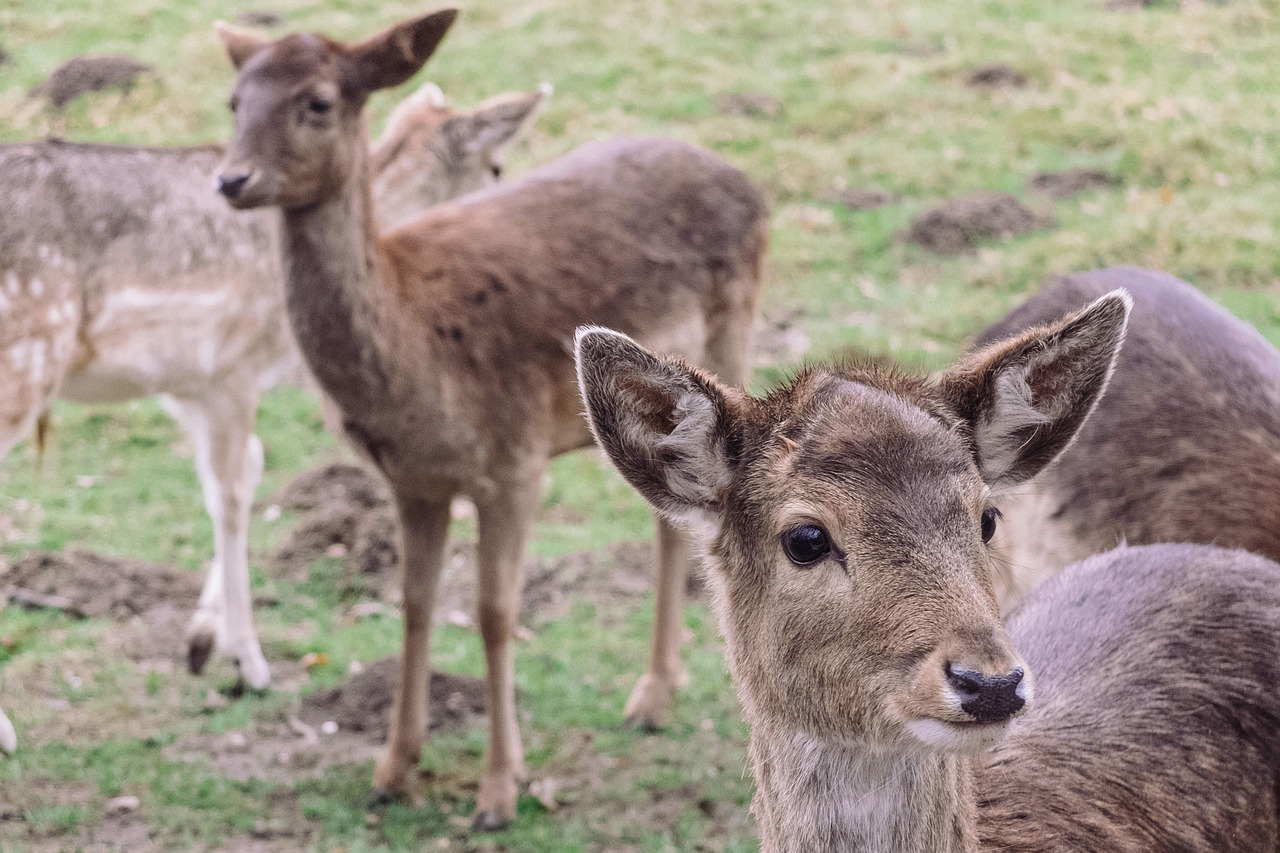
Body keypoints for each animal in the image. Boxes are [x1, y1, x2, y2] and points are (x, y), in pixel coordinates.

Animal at [0, 79, 545, 753]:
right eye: (495, 166)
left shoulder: (187, 381)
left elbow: (239, 475)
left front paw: (201, 643)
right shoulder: (232, 365)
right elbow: (233, 492)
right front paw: (250, 663)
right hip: (24, 356)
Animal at [213, 6, 762, 824]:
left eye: (318, 101)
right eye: (234, 100)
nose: (231, 179)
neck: (418, 360)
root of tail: (745, 178)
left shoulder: (514, 458)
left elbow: (495, 612)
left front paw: (499, 791)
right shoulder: (411, 480)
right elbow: (413, 603)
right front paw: (392, 770)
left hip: (734, 334)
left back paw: (651, 696)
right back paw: (654, 695)